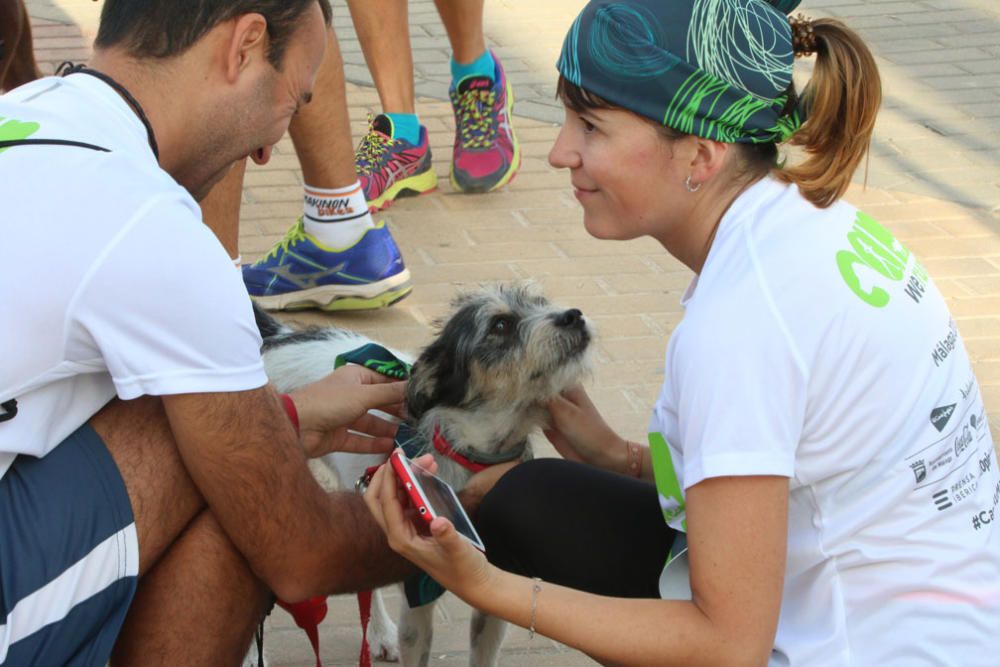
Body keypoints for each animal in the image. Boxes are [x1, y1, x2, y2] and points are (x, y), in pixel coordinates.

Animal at [254, 284, 588, 667]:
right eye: (500, 325)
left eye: (542, 303)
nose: (574, 316)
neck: (473, 452)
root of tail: (281, 336)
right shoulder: (418, 597)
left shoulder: (496, 594)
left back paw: (380, 633)